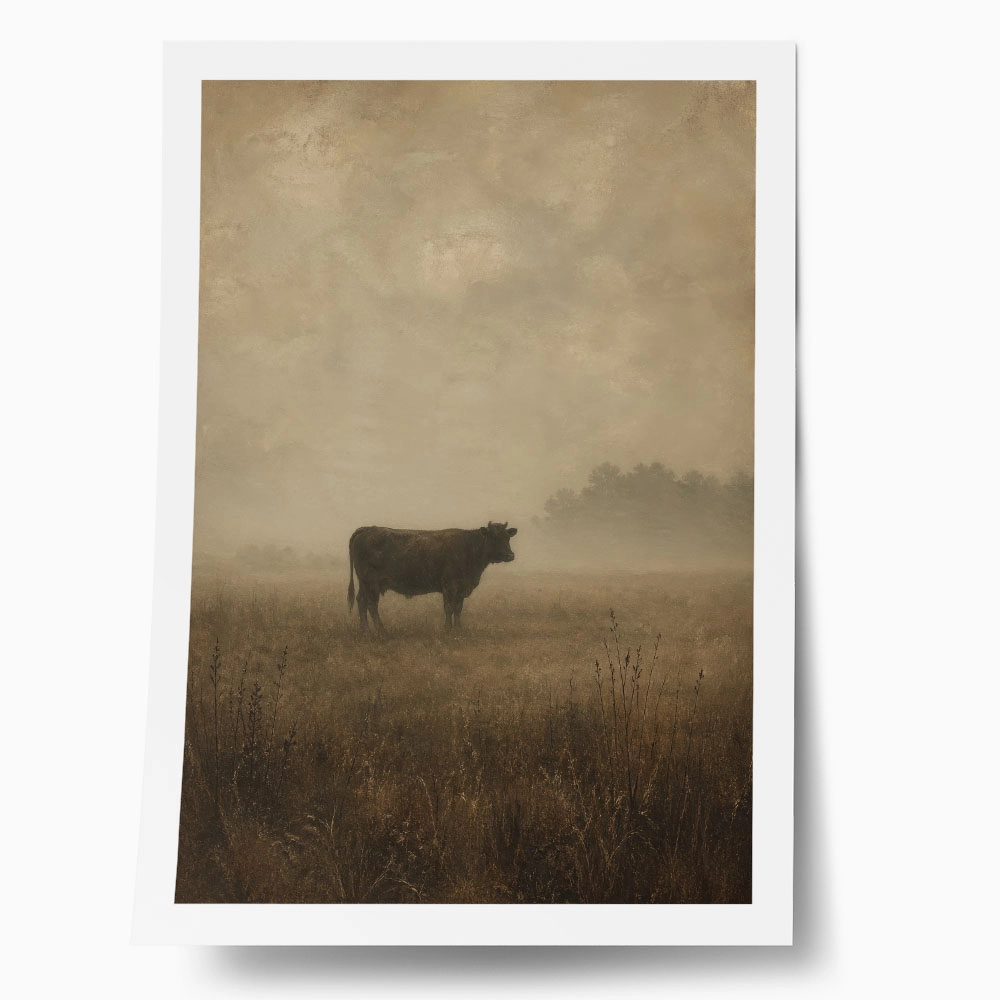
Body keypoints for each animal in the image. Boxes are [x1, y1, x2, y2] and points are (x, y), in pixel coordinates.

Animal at [347, 521, 518, 634]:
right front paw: (447, 630)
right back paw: (381, 631)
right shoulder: (450, 586)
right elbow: (449, 608)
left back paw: (365, 630)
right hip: (371, 583)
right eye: (494, 537)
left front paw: (459, 630)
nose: (510, 555)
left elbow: (458, 608)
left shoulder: (461, 588)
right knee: (371, 604)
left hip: (364, 583)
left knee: (361, 601)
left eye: (507, 537)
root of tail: (368, 529)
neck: (468, 547)